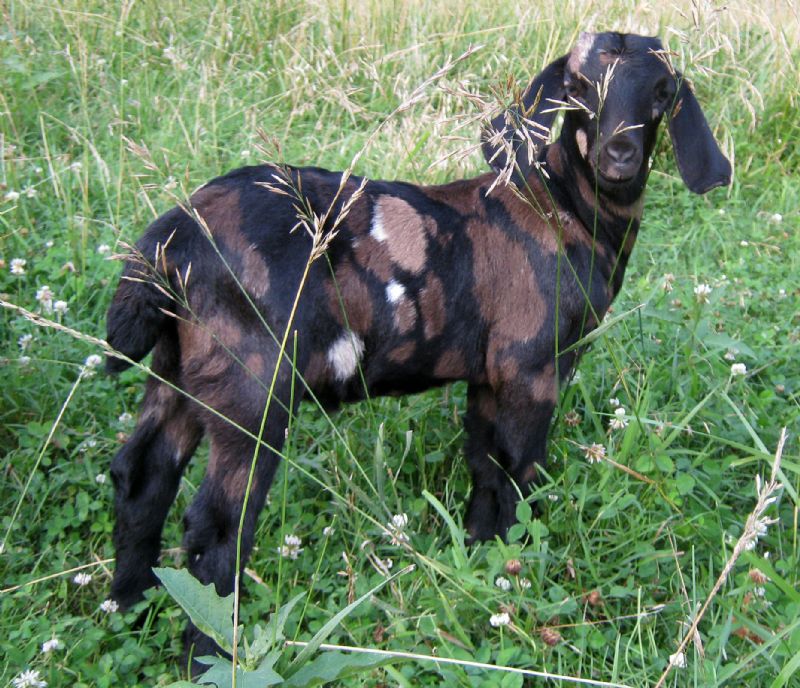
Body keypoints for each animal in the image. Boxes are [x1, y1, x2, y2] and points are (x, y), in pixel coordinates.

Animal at [104, 30, 732, 660]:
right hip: (252, 381)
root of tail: (173, 236)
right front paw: (515, 571)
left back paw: (130, 606)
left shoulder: (488, 374)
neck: (562, 207)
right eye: (577, 87)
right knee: (217, 522)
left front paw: (482, 560)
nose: (618, 155)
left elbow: (485, 468)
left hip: (182, 367)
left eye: (662, 91)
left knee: (142, 473)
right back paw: (207, 653)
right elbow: (517, 473)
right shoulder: (531, 365)